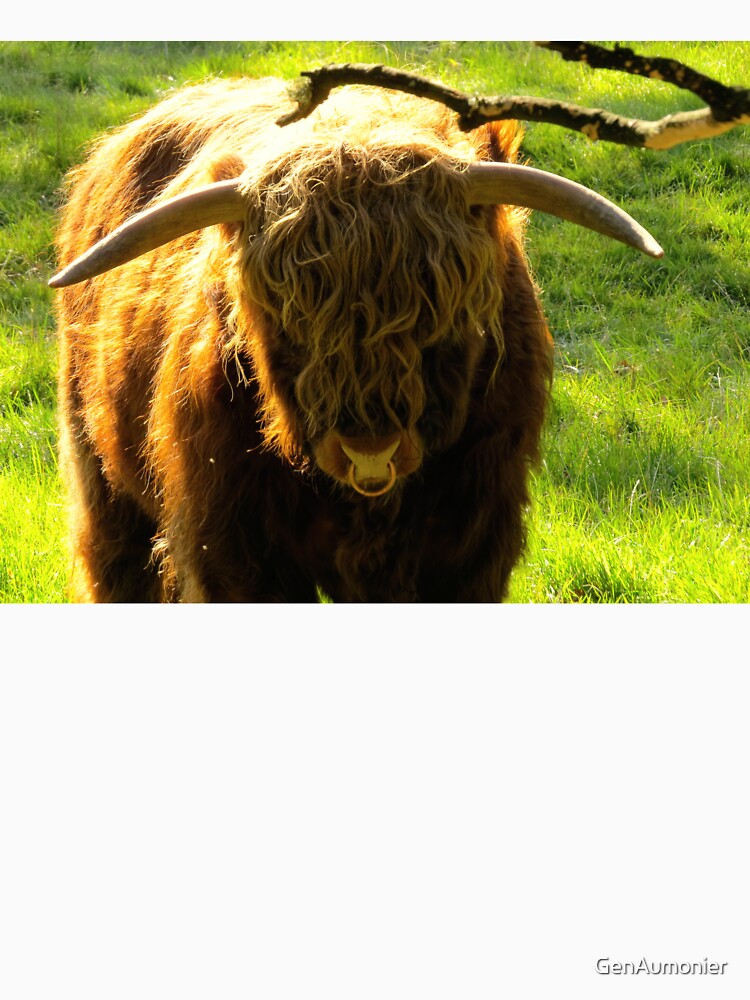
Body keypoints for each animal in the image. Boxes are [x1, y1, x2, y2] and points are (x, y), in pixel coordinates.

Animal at [50, 77, 661, 602]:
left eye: (442, 322)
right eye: (288, 320)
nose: (370, 451)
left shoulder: (471, 541)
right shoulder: (230, 542)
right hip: (100, 469)